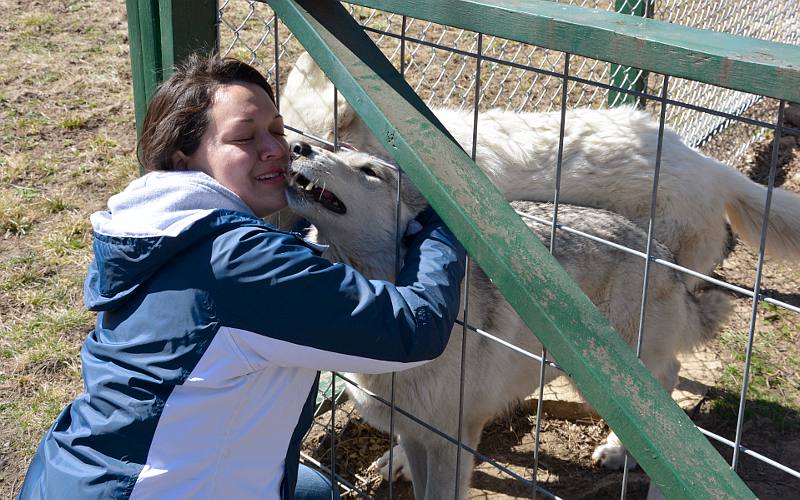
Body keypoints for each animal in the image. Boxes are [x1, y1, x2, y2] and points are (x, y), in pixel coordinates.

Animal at [288, 143, 732, 498]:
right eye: (334, 149)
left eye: (368, 171)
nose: (298, 146)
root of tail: (659, 252)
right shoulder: (416, 431)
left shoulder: (451, 440)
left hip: (621, 380)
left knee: (668, 383)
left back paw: (624, 454)